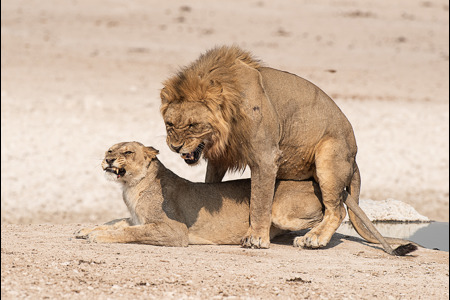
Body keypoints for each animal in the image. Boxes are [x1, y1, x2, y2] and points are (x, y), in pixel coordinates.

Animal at [75, 141, 416, 255]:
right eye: (109, 150)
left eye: (127, 152)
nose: (108, 160)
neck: (130, 187)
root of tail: (310, 179)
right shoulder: (136, 217)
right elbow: (119, 222)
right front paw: (86, 228)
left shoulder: (174, 231)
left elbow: (129, 231)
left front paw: (97, 236)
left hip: (282, 210)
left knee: (337, 210)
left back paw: (312, 238)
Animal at [158, 45, 362, 250]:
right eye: (169, 124)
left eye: (193, 125)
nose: (175, 147)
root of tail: (354, 157)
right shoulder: (219, 159)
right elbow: (211, 185)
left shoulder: (266, 157)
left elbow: (260, 201)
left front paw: (256, 238)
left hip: (329, 158)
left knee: (337, 210)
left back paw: (314, 238)